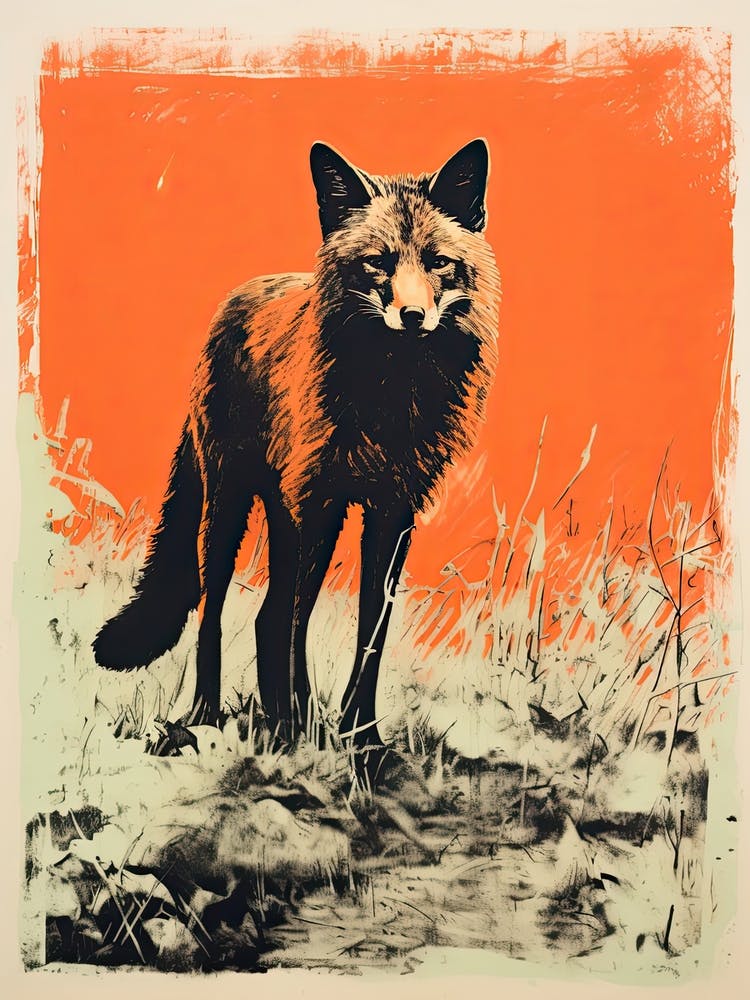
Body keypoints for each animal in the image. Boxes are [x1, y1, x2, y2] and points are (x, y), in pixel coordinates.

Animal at [93, 138, 501, 753]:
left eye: (438, 262)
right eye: (377, 262)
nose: (412, 316)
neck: (389, 401)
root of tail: (234, 300)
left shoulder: (392, 511)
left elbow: (369, 636)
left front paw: (361, 741)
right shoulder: (315, 502)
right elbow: (286, 629)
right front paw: (294, 736)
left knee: (270, 615)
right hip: (233, 508)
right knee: (222, 611)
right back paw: (209, 718)